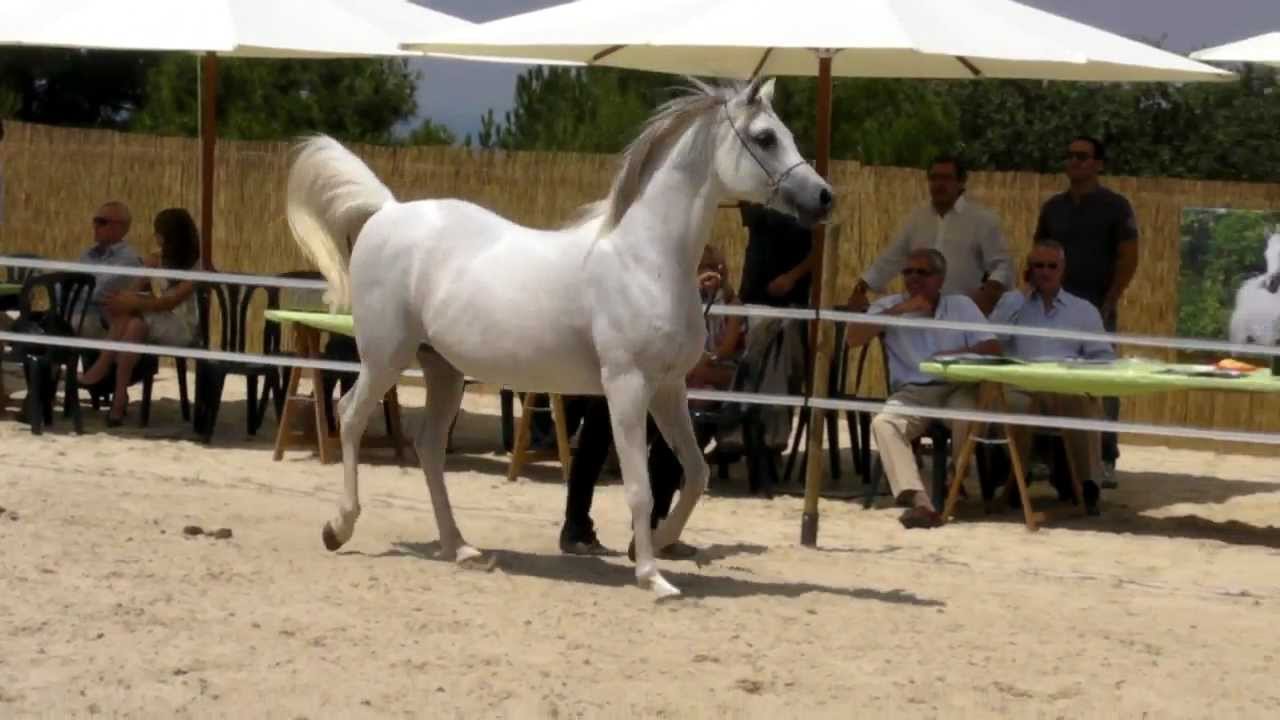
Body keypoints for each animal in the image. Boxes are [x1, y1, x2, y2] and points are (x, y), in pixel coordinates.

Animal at [285, 77, 833, 598]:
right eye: (765, 137)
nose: (824, 197)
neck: (646, 260)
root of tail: (387, 211)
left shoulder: (669, 389)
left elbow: (694, 474)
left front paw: (651, 547)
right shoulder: (627, 386)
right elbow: (639, 488)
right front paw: (652, 577)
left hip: (443, 369)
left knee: (429, 447)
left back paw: (460, 548)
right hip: (385, 357)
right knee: (350, 416)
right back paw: (339, 528)